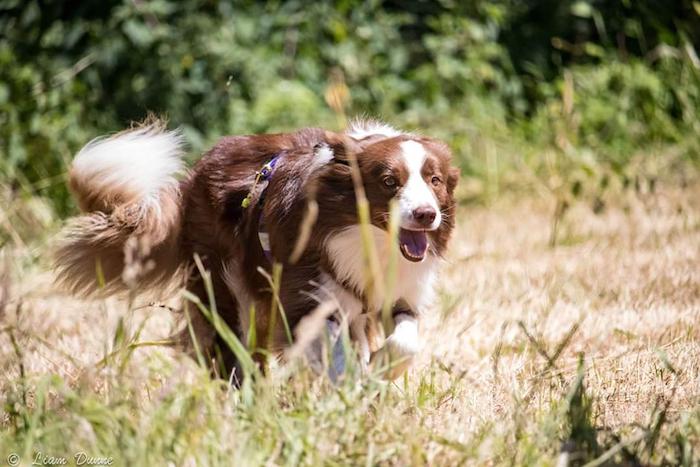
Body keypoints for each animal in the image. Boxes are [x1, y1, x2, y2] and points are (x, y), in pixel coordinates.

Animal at [54, 119, 460, 380]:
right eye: (389, 181)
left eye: (435, 180)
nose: (426, 215)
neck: (368, 241)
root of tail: (193, 177)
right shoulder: (305, 296)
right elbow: (332, 351)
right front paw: (349, 388)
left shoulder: (399, 294)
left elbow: (405, 343)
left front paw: (379, 370)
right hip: (229, 286)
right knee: (233, 349)